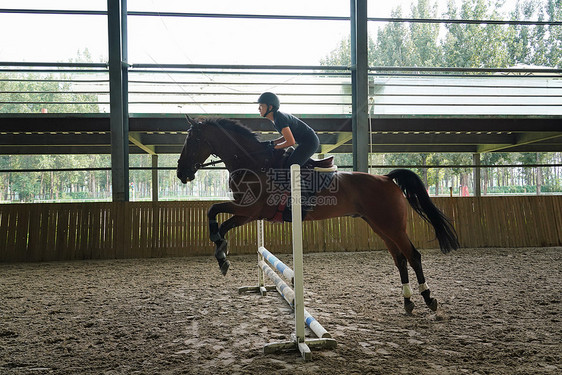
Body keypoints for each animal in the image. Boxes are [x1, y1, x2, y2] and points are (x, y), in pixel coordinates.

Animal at [177, 117, 458, 314]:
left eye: (192, 141)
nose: (181, 173)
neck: (254, 162)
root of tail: (387, 178)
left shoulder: (249, 209)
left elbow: (214, 211)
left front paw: (221, 253)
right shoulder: (247, 213)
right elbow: (219, 220)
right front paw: (221, 254)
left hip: (393, 227)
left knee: (413, 256)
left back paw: (428, 298)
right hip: (380, 226)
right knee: (399, 259)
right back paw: (408, 301)